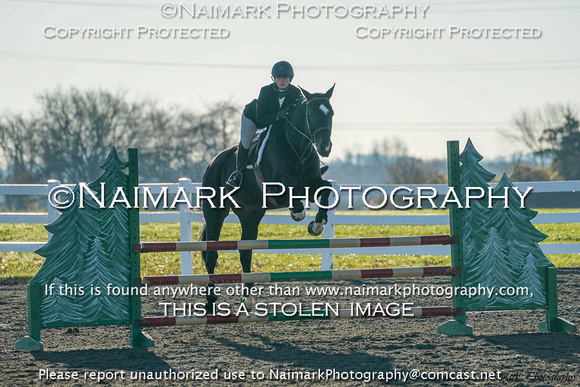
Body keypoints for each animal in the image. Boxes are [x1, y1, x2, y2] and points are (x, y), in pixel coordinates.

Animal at [199, 85, 336, 312]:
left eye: (331, 114)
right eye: (311, 114)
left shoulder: (312, 183)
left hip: (250, 215)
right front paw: (297, 212)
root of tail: (212, 162)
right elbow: (290, 185)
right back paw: (210, 302)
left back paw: (247, 300)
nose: (325, 148)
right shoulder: (275, 187)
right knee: (211, 254)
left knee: (245, 253)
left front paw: (316, 225)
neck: (298, 149)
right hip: (215, 213)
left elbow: (326, 189)